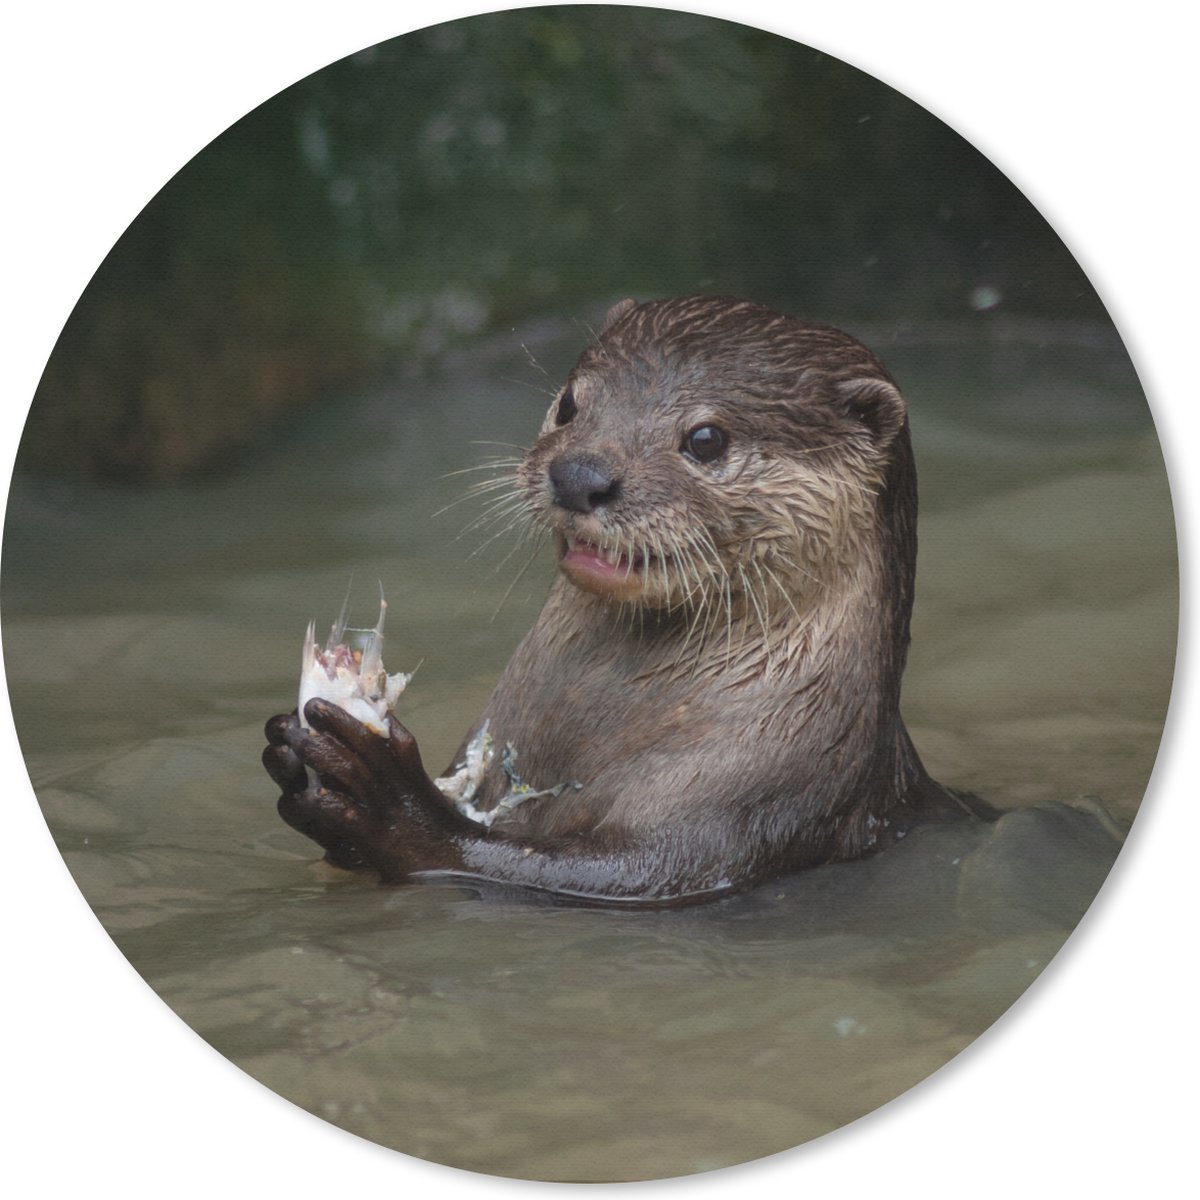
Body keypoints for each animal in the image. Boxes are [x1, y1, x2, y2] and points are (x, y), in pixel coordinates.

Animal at [263, 296, 973, 904]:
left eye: (706, 439)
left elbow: (601, 871)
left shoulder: (758, 800)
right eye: (570, 404)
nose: (579, 475)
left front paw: (388, 801)